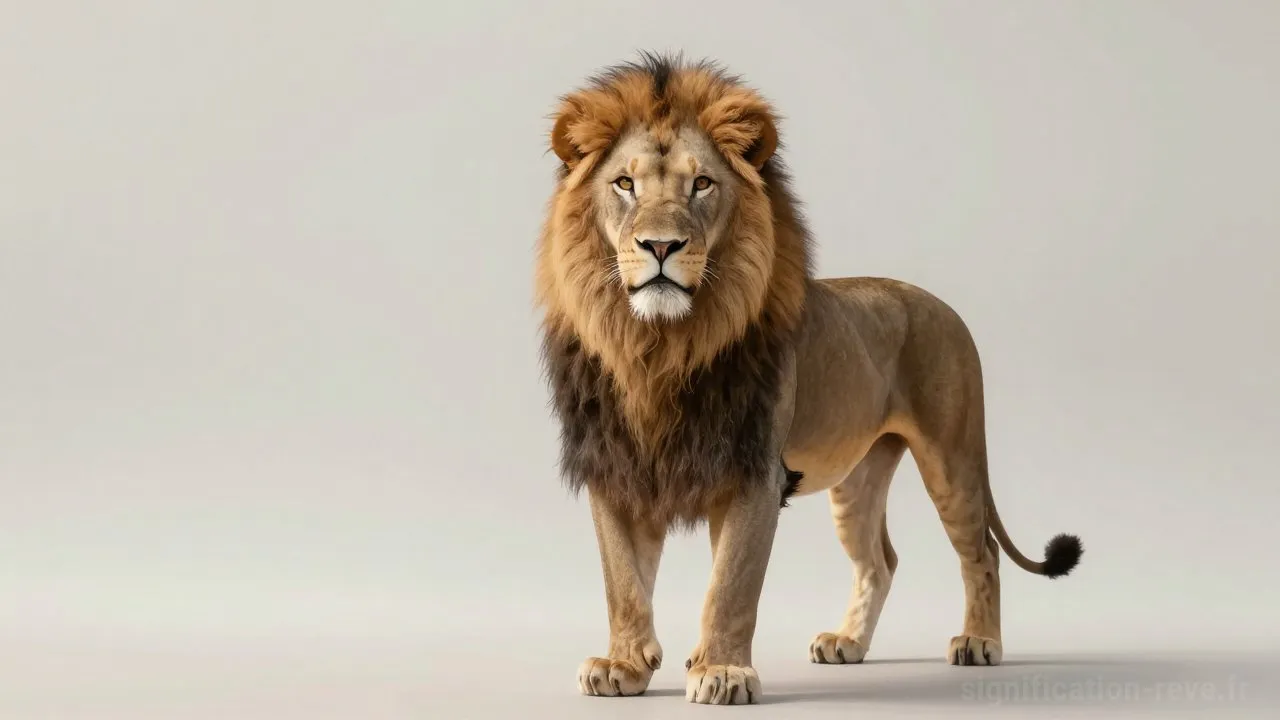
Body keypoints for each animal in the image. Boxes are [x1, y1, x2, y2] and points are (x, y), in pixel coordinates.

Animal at [535, 52, 1083, 706]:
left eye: (702, 184)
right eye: (625, 184)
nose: (661, 245)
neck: (659, 347)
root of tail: (940, 304)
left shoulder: (753, 470)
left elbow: (731, 584)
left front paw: (721, 671)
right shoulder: (616, 467)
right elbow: (622, 582)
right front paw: (623, 665)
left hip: (952, 457)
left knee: (983, 552)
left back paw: (980, 642)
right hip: (859, 478)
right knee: (880, 560)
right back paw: (847, 643)